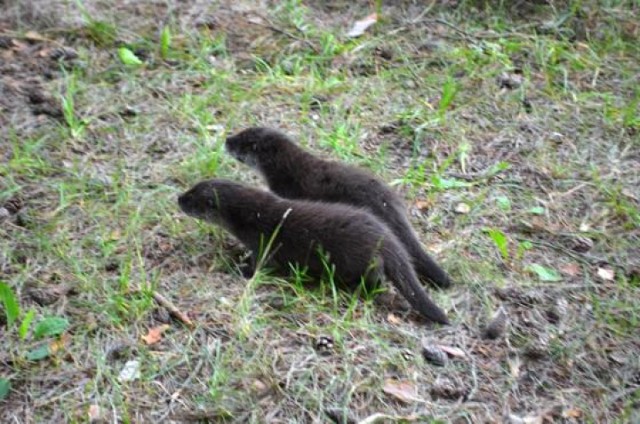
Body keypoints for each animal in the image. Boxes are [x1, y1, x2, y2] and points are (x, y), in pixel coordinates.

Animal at [179, 179, 450, 324]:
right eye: (192, 187)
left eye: (192, 198)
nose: (178, 198)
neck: (251, 215)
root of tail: (386, 238)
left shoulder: (263, 243)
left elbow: (261, 266)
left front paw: (238, 267)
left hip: (359, 258)